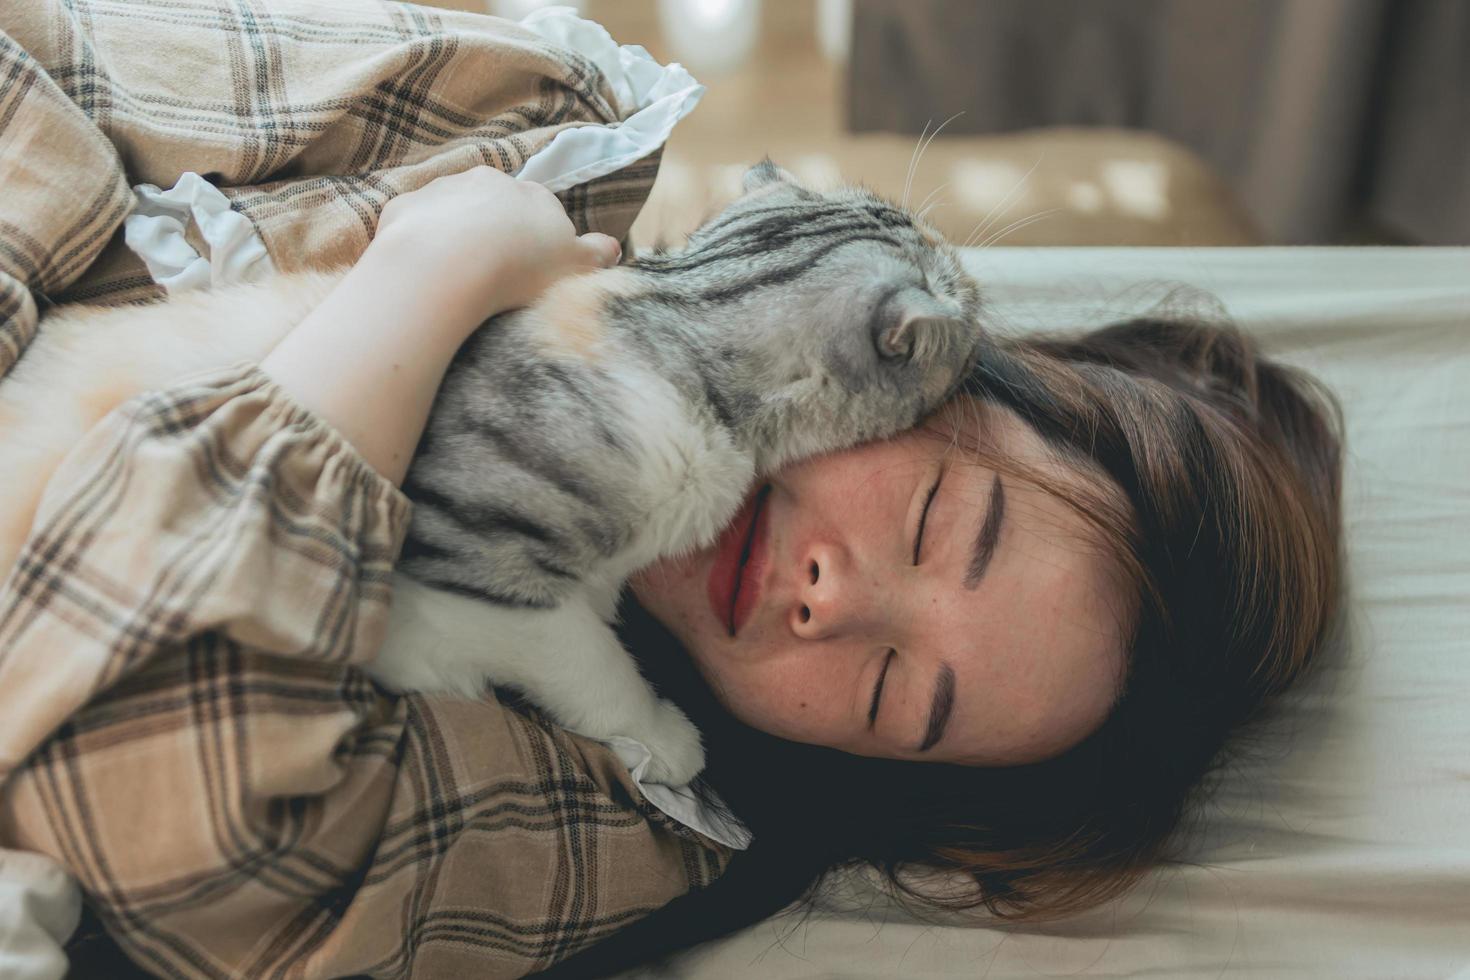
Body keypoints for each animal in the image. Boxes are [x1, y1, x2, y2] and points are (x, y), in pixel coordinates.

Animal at [5, 163, 987, 787]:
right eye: (963, 291)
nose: (977, 279)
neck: (675, 315)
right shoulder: (487, 571)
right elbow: (590, 661)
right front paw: (661, 739)